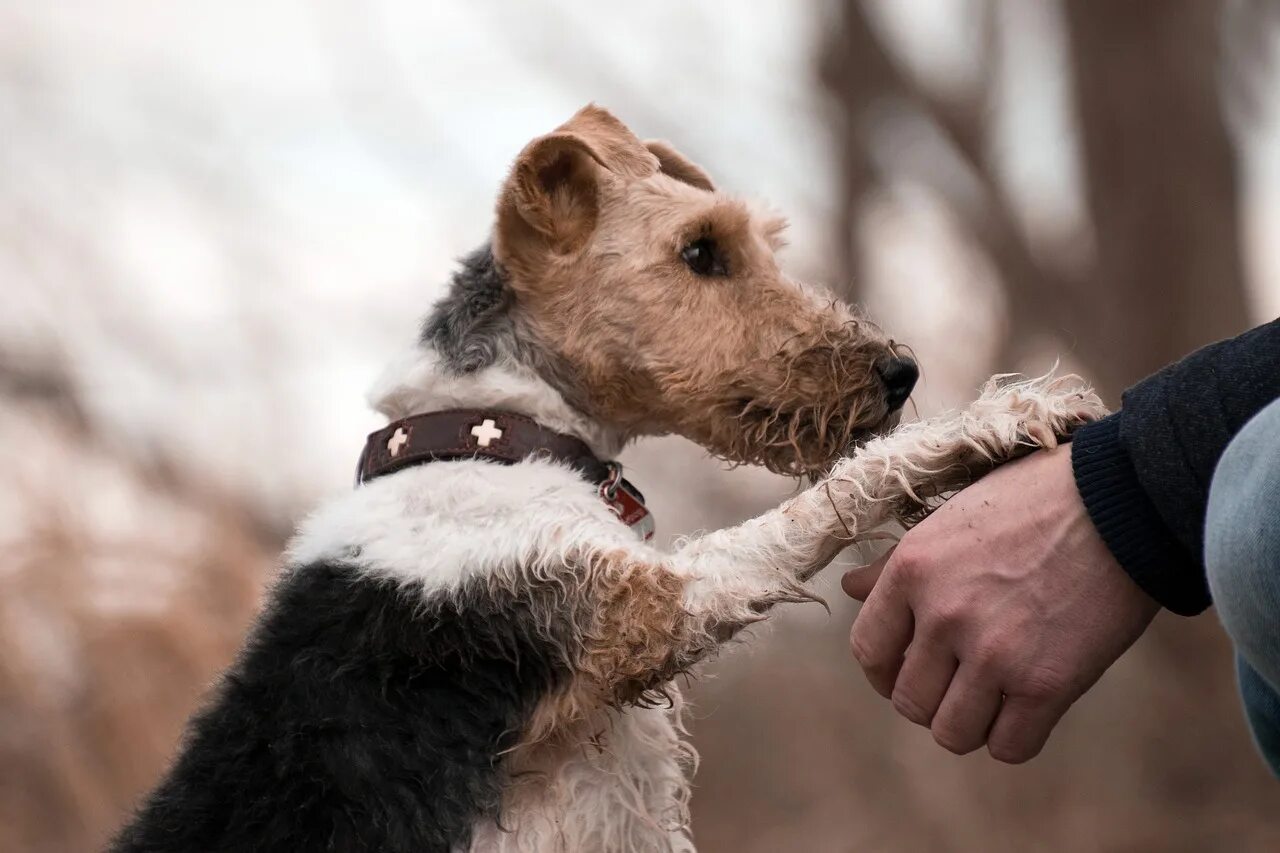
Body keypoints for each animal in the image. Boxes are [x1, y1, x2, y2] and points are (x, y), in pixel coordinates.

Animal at [115, 103, 1105, 845]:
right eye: (700, 250)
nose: (898, 371)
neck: (497, 434)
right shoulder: (645, 605)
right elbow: (824, 499)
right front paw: (1004, 417)